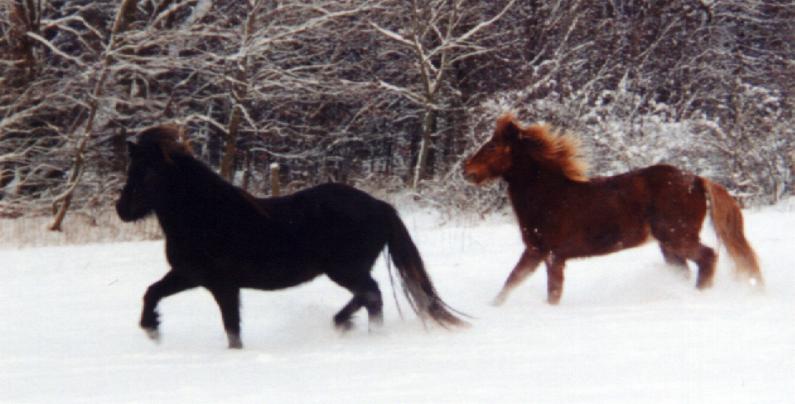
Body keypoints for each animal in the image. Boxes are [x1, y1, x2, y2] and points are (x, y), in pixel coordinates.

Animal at [115, 125, 464, 348]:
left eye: (149, 172)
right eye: (131, 170)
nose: (122, 209)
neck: (206, 215)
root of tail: (379, 205)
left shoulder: (221, 283)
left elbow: (232, 328)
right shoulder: (191, 275)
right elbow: (152, 292)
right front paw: (152, 328)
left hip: (346, 270)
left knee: (371, 294)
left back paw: (346, 326)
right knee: (371, 298)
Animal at [466, 113, 764, 304]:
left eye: (493, 146)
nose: (467, 171)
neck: (548, 195)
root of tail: (697, 180)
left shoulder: (550, 254)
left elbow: (550, 293)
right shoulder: (536, 251)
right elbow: (510, 283)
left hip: (677, 237)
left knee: (708, 257)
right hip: (668, 244)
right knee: (687, 269)